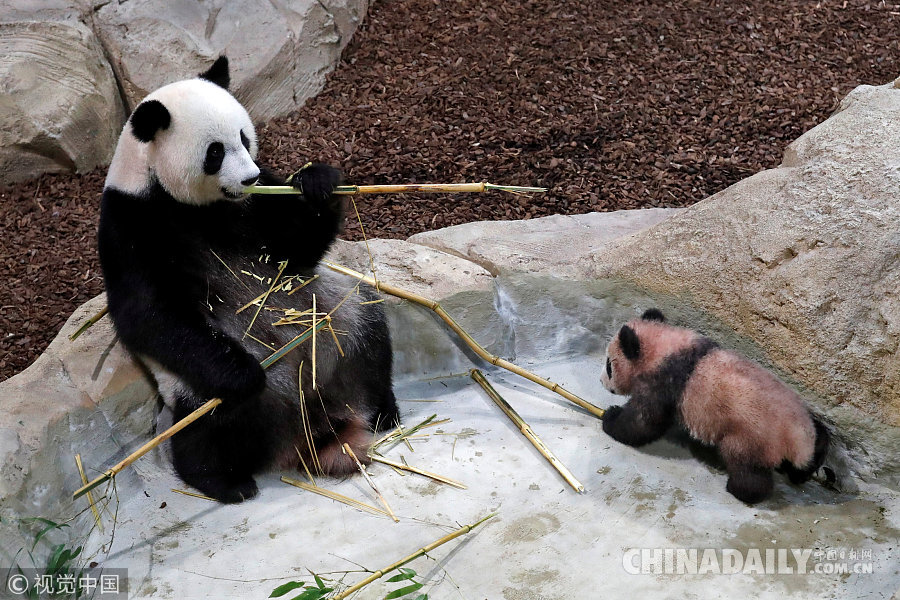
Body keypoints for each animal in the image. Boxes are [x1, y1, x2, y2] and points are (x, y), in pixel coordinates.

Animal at [96, 58, 400, 504]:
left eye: (244, 136)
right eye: (215, 152)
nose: (250, 178)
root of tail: (309, 421)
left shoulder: (254, 206)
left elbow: (294, 251)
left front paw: (319, 182)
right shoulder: (132, 224)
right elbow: (148, 313)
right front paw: (243, 375)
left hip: (335, 326)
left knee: (367, 333)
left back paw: (383, 411)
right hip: (196, 387)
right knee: (208, 427)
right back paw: (224, 480)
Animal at [600, 308, 828, 504]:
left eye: (609, 365)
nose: (601, 382)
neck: (665, 348)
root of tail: (797, 437)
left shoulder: (665, 381)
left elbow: (644, 419)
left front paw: (610, 417)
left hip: (751, 437)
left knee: (746, 467)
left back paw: (741, 490)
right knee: (819, 438)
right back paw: (808, 465)